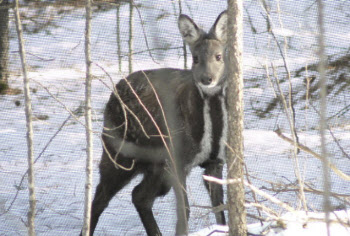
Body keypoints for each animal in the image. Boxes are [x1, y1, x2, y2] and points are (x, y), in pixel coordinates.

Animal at [83, 10, 228, 234]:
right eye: (195, 58)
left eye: (218, 56)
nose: (207, 79)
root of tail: (114, 92)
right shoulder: (177, 160)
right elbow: (184, 211)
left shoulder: (216, 161)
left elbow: (220, 209)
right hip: (118, 151)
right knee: (100, 199)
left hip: (155, 165)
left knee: (139, 196)